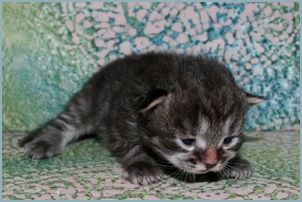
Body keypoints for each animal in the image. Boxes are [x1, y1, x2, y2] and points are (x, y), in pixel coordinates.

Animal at [18, 51, 264, 185]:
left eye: (228, 140)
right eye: (188, 141)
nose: (211, 164)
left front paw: (234, 162)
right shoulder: (120, 119)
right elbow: (132, 147)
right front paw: (142, 166)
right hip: (87, 102)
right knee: (63, 123)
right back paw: (43, 142)